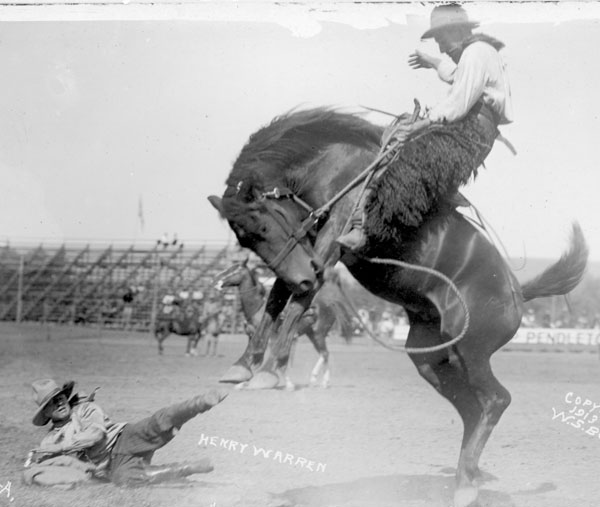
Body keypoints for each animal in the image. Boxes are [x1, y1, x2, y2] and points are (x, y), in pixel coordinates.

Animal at [213, 256, 354, 390]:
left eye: (234, 270)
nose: (216, 280)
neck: (258, 308)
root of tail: (329, 304)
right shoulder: (251, 336)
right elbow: (253, 357)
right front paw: (243, 380)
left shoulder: (272, 339)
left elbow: (274, 357)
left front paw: (286, 383)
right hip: (312, 334)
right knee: (323, 354)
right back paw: (317, 381)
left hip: (318, 333)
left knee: (325, 354)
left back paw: (322, 381)